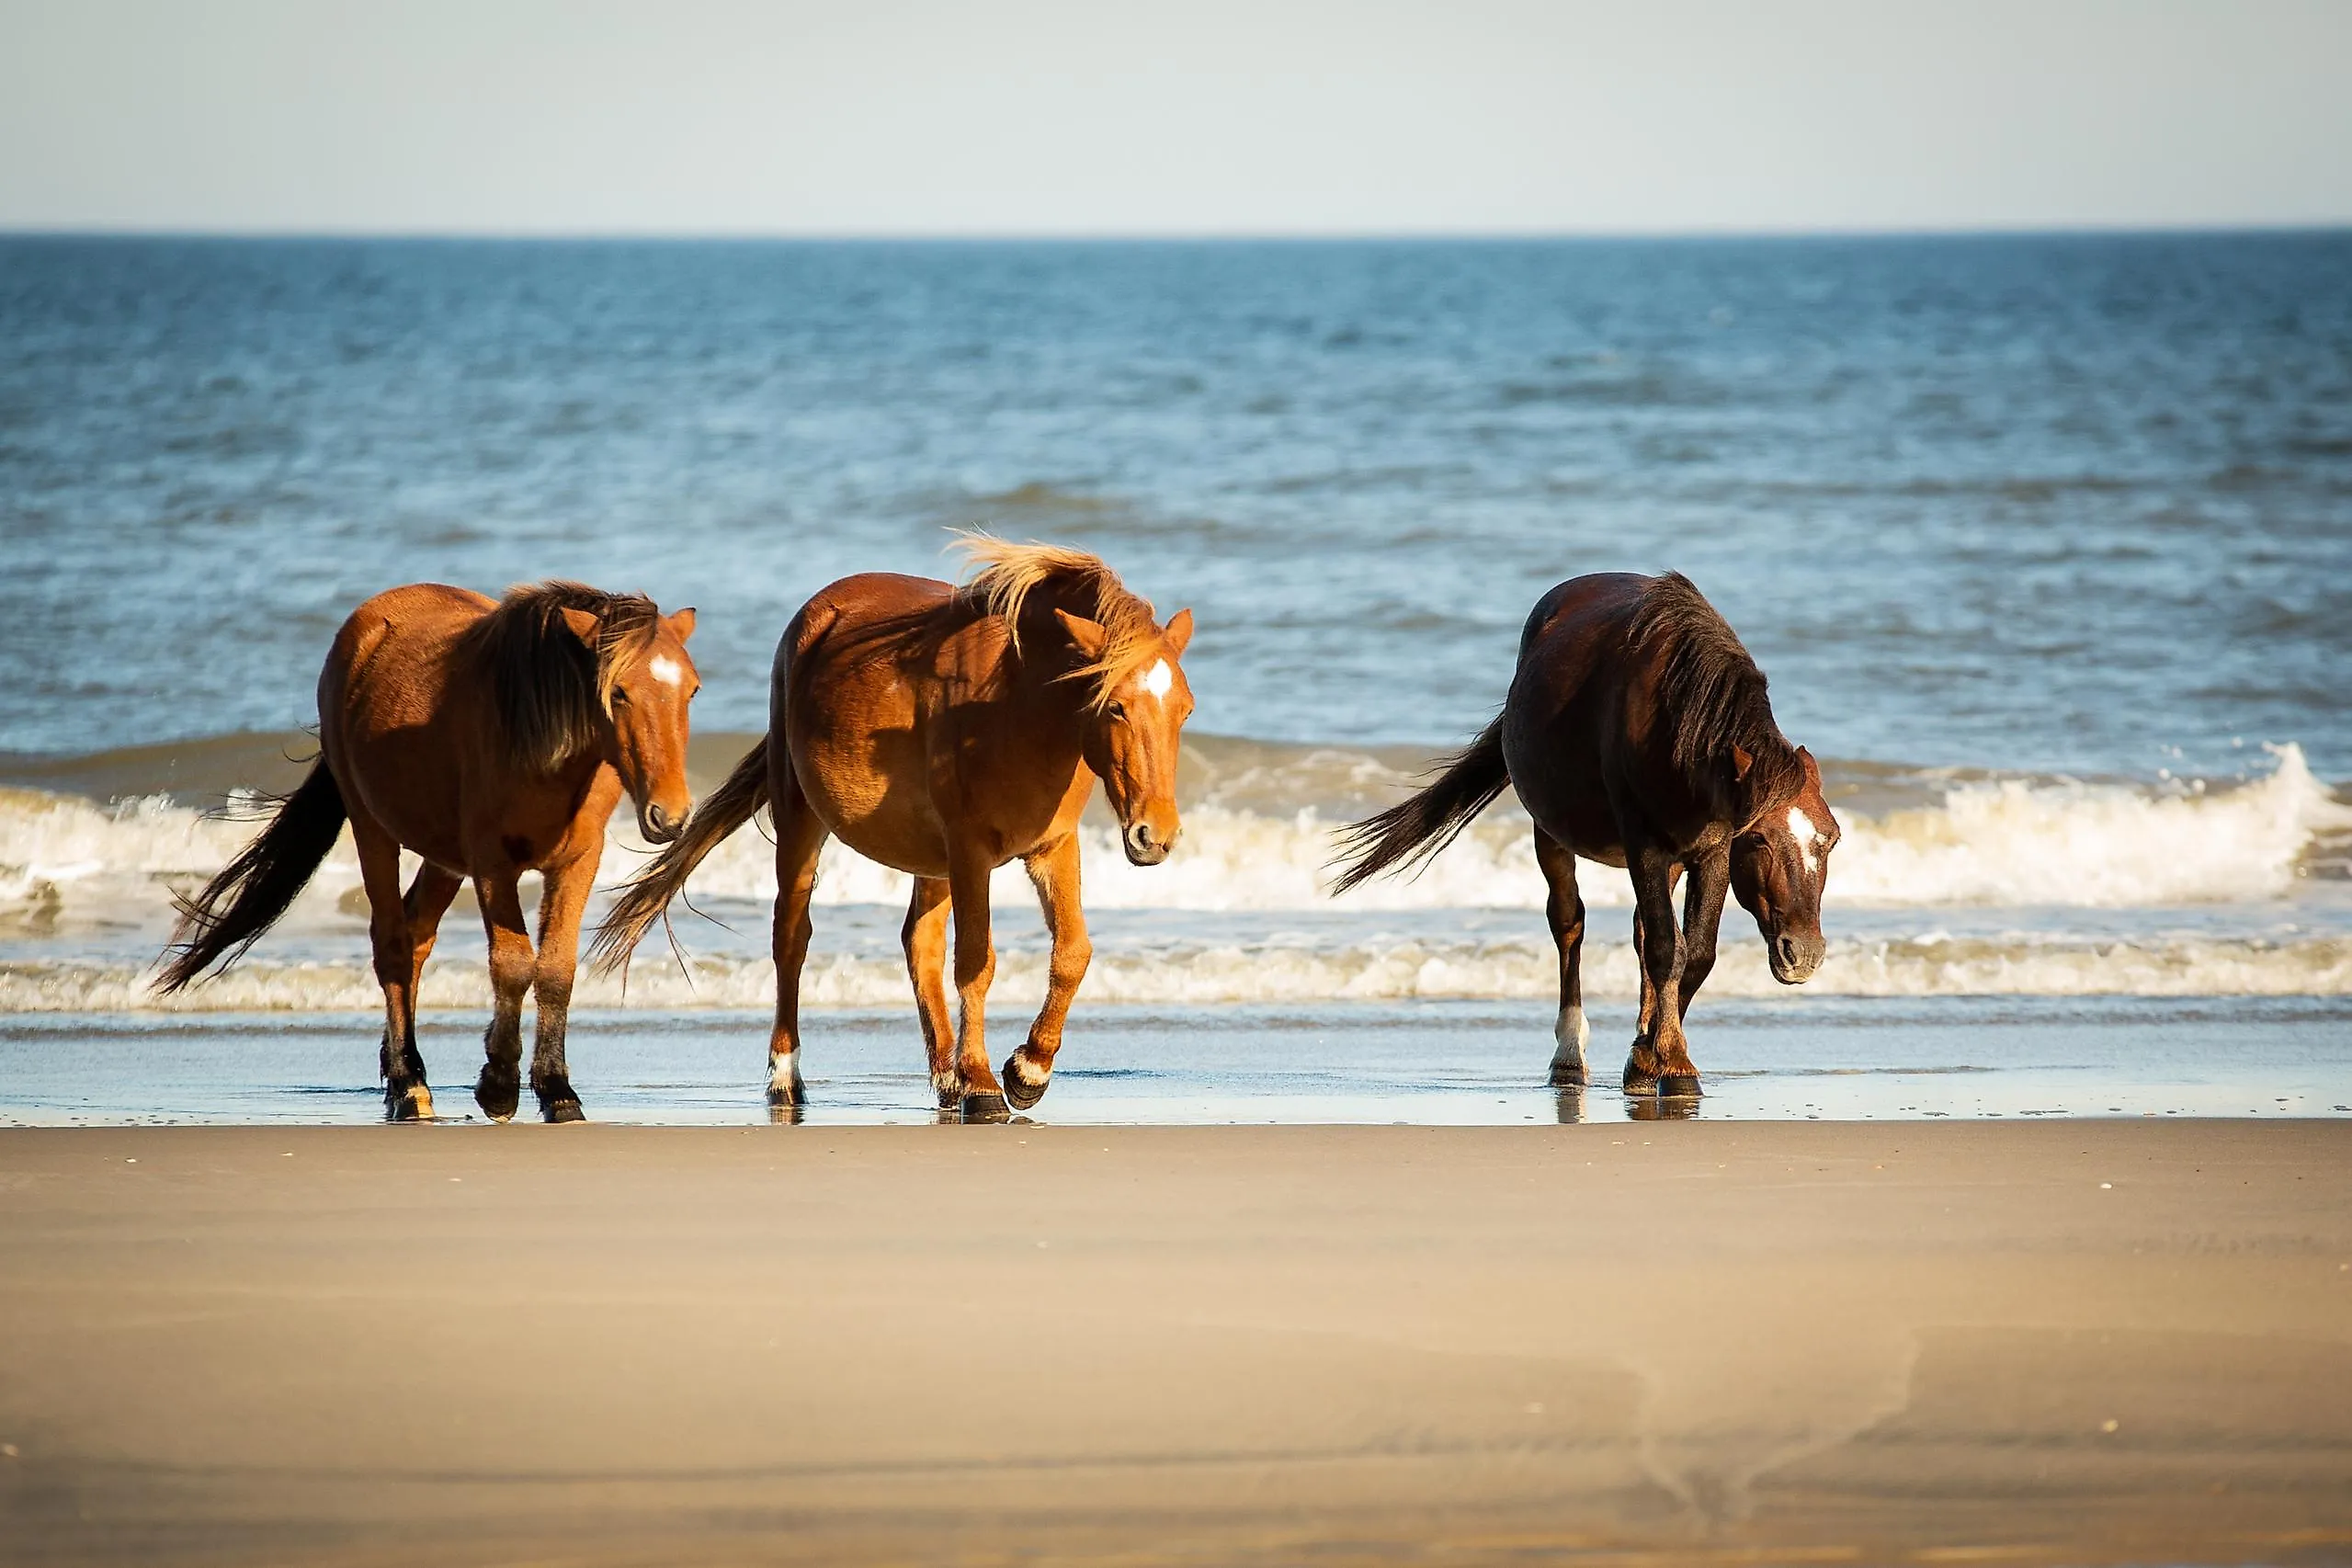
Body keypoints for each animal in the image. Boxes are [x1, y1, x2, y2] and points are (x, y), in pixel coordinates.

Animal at [155, 581, 700, 1123]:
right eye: (618, 692)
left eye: (692, 689)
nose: (669, 816)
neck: (541, 743)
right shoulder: (491, 864)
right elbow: (513, 965)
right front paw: (498, 1086)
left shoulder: (577, 862)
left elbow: (556, 970)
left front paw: (557, 1091)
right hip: (373, 829)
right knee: (392, 944)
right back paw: (408, 1085)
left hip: (443, 859)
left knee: (416, 938)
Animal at [592, 537, 1195, 1122]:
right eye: (1115, 706)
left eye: (1185, 710)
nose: (1155, 836)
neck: (1017, 704)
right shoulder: (970, 851)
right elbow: (977, 961)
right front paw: (985, 1085)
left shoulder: (1052, 847)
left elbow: (1072, 953)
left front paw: (1028, 1072)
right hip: (803, 823)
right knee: (791, 939)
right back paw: (788, 1078)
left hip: (932, 861)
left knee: (918, 944)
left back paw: (948, 1078)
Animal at [1331, 572, 1837, 1099]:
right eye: (1760, 841)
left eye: (1831, 838)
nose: (1804, 954)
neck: (1675, 726)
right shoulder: (1645, 846)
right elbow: (1666, 950)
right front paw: (1673, 1064)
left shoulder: (1710, 851)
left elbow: (1694, 953)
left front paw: (1650, 1057)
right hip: (1552, 835)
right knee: (1569, 924)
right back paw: (1569, 1055)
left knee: (1642, 933)